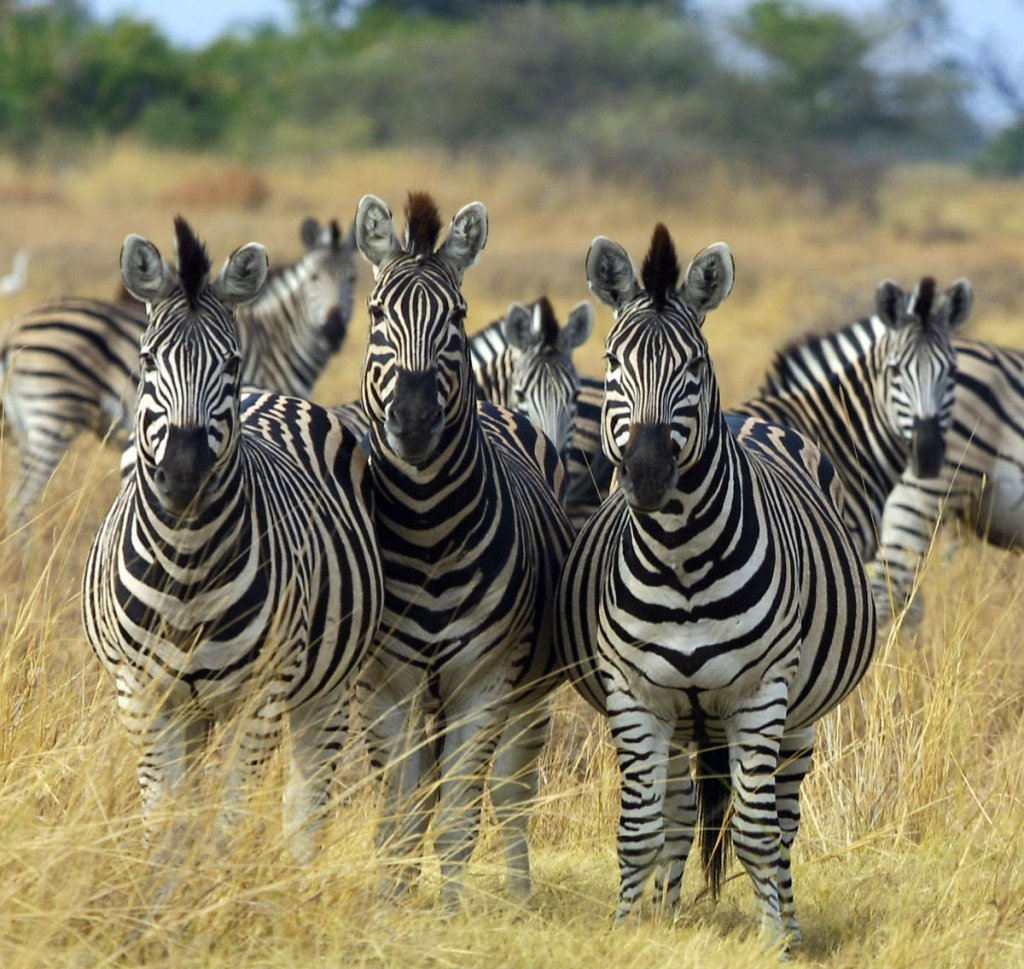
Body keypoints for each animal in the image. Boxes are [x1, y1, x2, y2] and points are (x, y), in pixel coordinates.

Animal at [0, 213, 360, 536]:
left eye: (352, 280)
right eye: (314, 278)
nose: (334, 331)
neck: (273, 340)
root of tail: (15, 327)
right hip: (53, 414)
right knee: (21, 498)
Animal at [80, 221, 385, 868]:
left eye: (232, 361)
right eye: (147, 360)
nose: (185, 472)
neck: (186, 561)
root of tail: (272, 396)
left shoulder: (262, 694)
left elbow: (231, 818)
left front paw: (218, 885)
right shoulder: (142, 695)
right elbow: (165, 821)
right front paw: (168, 890)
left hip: (327, 686)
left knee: (306, 801)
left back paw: (296, 876)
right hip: (192, 709)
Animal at [352, 190, 577, 905]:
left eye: (457, 316)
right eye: (376, 314)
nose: (415, 420)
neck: (426, 531)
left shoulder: (485, 679)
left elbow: (458, 815)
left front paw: (449, 913)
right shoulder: (385, 683)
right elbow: (399, 810)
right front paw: (391, 905)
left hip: (527, 693)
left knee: (510, 791)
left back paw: (520, 894)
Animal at [557, 221, 876, 942]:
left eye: (694, 369)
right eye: (612, 364)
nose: (648, 475)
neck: (680, 559)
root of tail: (750, 417)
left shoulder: (761, 693)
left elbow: (757, 834)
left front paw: (776, 941)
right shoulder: (635, 693)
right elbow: (638, 831)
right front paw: (629, 929)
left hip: (797, 716)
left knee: (781, 821)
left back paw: (788, 919)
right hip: (682, 719)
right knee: (677, 811)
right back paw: (667, 908)